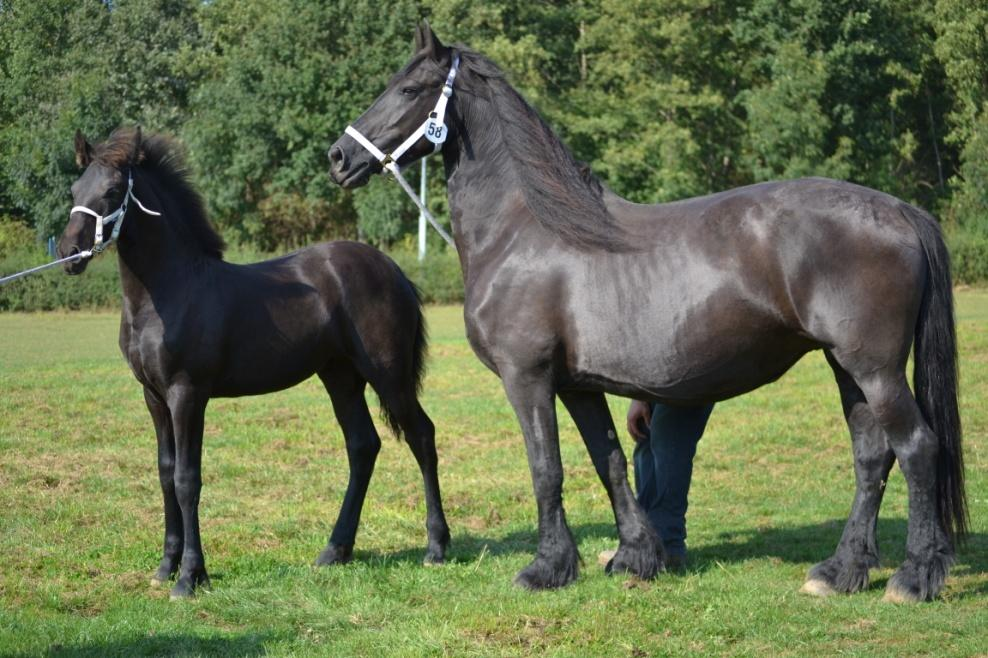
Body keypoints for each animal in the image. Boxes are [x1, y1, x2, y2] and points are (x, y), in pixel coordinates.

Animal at [58, 128, 452, 600]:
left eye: (113, 191)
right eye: (75, 189)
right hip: (340, 376)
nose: (69, 252)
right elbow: (165, 473)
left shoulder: (188, 394)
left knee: (421, 436)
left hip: (388, 374)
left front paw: (190, 577)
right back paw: (334, 551)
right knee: (363, 446)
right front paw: (166, 566)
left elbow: (188, 479)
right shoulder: (153, 396)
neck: (170, 293)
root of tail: (393, 269)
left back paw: (436, 546)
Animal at [326, 25, 964, 600]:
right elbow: (608, 460)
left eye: (409, 89)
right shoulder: (578, 385)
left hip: (874, 369)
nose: (338, 156)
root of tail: (900, 210)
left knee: (916, 448)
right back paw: (841, 572)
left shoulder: (527, 377)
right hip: (846, 367)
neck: (524, 231)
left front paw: (545, 569)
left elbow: (546, 468)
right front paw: (634, 556)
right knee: (872, 456)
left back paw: (912, 578)